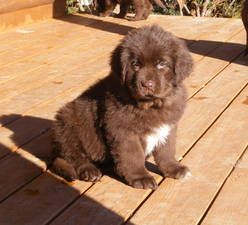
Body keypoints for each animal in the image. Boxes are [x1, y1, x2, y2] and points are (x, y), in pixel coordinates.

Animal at [52, 25, 194, 190]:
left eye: (162, 64)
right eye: (135, 64)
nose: (147, 84)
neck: (150, 105)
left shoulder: (168, 126)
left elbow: (166, 151)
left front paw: (173, 168)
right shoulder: (122, 131)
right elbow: (133, 155)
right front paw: (141, 177)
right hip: (68, 122)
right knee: (73, 155)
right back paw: (89, 171)